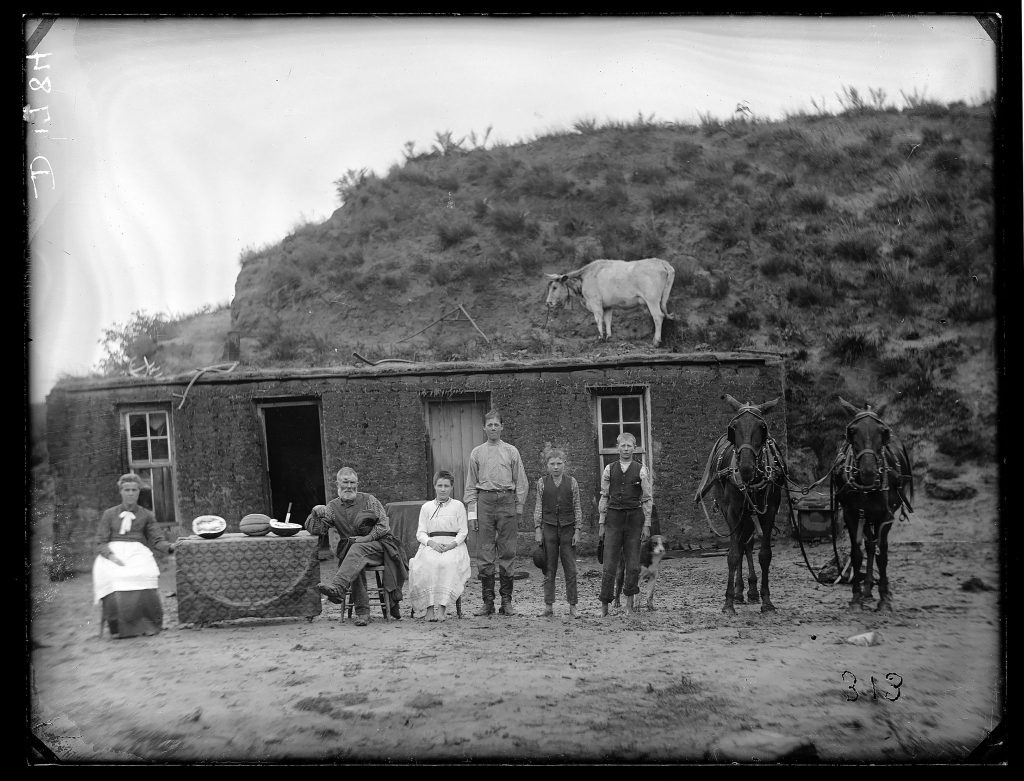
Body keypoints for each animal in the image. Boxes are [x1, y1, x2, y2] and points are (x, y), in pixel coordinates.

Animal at [700, 393, 786, 614]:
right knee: (741, 545)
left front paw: (766, 600)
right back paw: (739, 592)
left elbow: (764, 554)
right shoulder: (732, 511)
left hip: (750, 514)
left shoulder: (769, 511)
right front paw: (728, 602)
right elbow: (733, 554)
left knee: (747, 544)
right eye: (734, 427)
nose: (746, 467)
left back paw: (752, 591)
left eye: (762, 427)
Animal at [835, 399, 917, 614]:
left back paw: (882, 589)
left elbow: (883, 555)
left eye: (883, 432)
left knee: (877, 548)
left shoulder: (886, 517)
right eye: (852, 431)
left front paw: (884, 599)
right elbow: (857, 553)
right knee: (870, 546)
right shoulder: (851, 514)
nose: (869, 472)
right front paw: (856, 597)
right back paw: (867, 589)